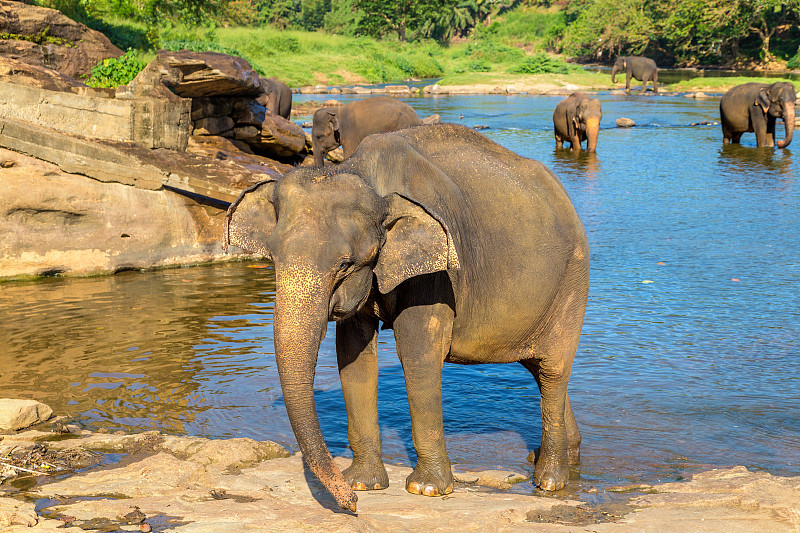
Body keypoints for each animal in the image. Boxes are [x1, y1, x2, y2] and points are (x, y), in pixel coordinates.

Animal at [225, 123, 588, 512]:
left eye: (345, 264)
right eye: (273, 257)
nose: (350, 504)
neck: (367, 177)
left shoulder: (437, 274)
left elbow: (418, 352)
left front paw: (426, 489)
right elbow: (353, 355)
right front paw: (365, 483)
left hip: (572, 281)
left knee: (553, 370)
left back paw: (550, 481)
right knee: (540, 369)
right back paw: (557, 457)